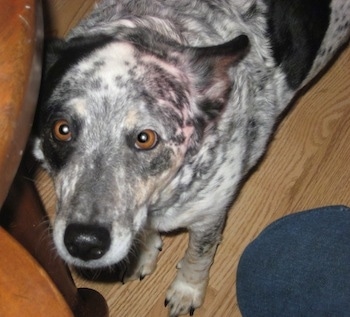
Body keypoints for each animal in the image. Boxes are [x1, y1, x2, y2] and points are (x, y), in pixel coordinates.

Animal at [33, 1, 350, 314]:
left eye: (145, 138)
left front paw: (186, 291)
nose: (84, 243)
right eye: (61, 129)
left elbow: (198, 256)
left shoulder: (209, 216)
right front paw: (142, 256)